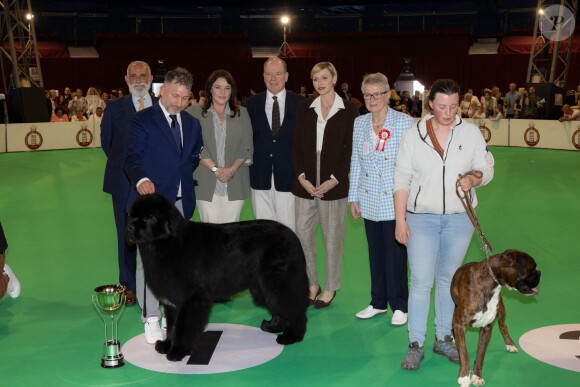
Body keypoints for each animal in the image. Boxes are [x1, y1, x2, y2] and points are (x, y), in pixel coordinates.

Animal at [125, 196, 310, 362]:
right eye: (131, 216)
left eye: (148, 217)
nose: (130, 227)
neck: (169, 245)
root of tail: (293, 236)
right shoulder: (172, 301)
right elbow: (172, 325)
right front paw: (166, 345)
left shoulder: (191, 299)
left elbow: (184, 327)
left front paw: (178, 351)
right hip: (262, 286)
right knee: (279, 308)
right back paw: (272, 327)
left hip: (277, 282)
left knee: (294, 308)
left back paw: (292, 336)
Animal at [450, 250, 540, 386]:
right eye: (532, 268)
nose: (540, 273)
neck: (491, 282)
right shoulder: (460, 323)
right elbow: (464, 353)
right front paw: (464, 376)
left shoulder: (487, 327)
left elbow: (481, 354)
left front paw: (477, 376)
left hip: (501, 310)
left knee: (503, 325)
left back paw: (510, 344)